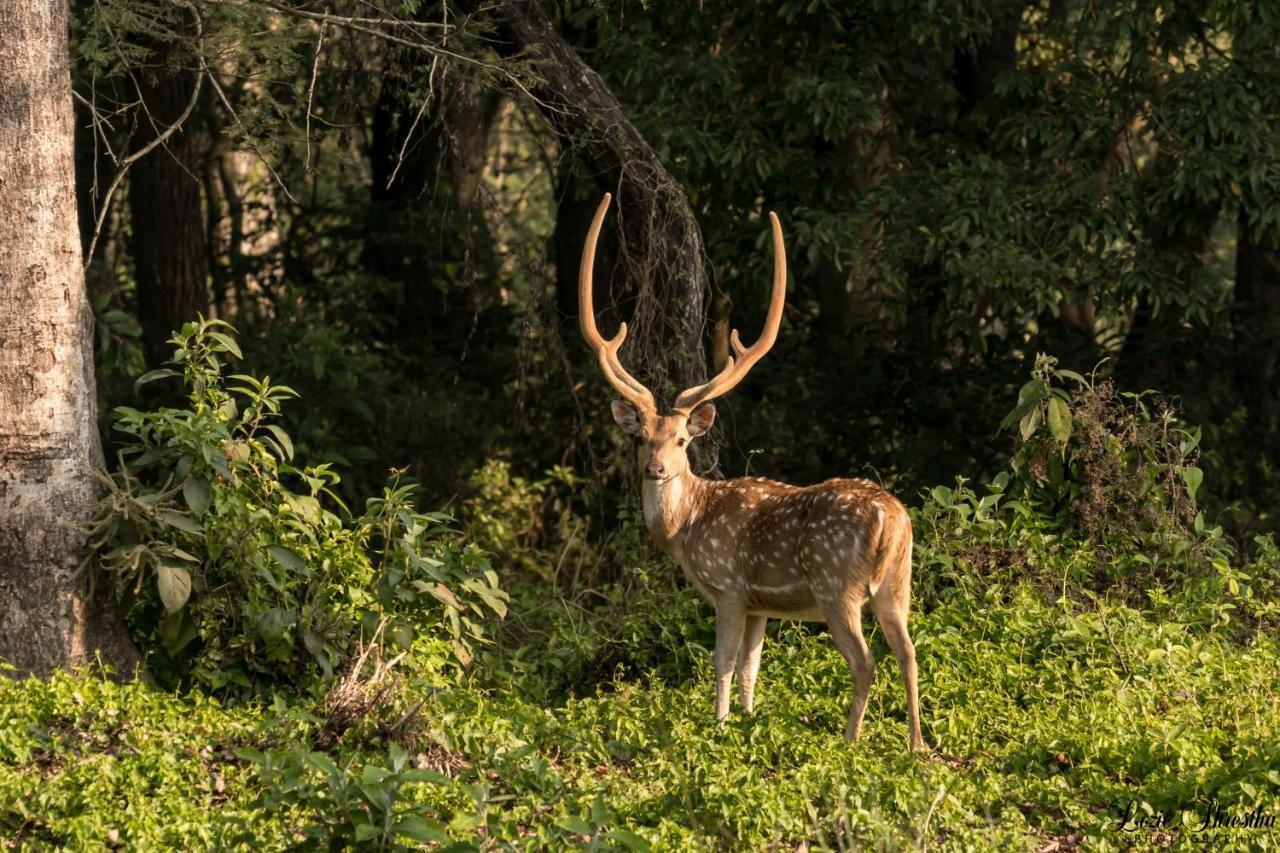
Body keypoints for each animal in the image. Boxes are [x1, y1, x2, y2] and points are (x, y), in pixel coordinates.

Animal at [578, 194, 921, 753]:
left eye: (682, 440)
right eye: (641, 436)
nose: (655, 468)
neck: (687, 528)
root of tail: (891, 521)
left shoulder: (730, 587)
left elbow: (721, 662)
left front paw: (716, 727)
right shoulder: (762, 603)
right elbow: (751, 668)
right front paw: (746, 721)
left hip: (836, 584)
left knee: (866, 660)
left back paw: (850, 740)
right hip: (899, 581)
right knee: (910, 652)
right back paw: (916, 746)